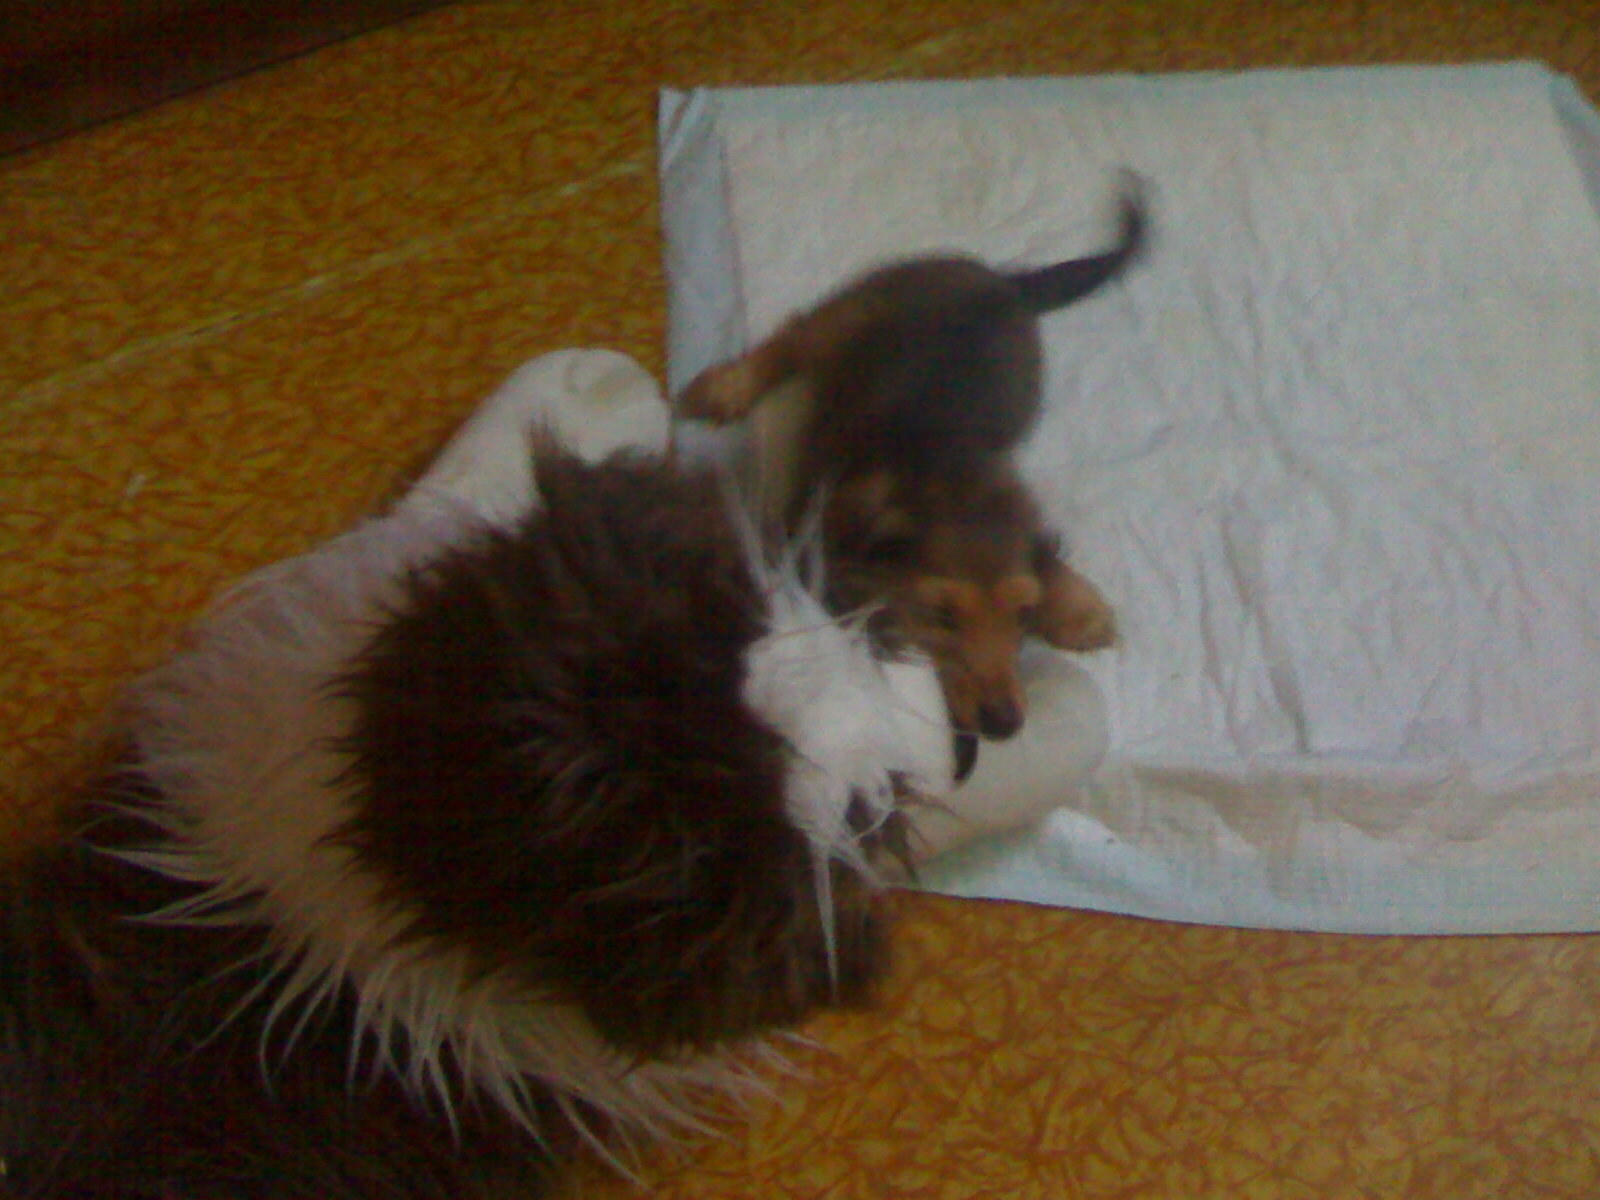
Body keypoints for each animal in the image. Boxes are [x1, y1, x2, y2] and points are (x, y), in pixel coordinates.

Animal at [678, 178, 1146, 740]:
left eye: (1022, 614)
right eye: (941, 616)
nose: (1004, 725)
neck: (948, 466)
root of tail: (1006, 280)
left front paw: (1078, 609)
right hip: (846, 315)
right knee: (791, 338)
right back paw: (729, 387)